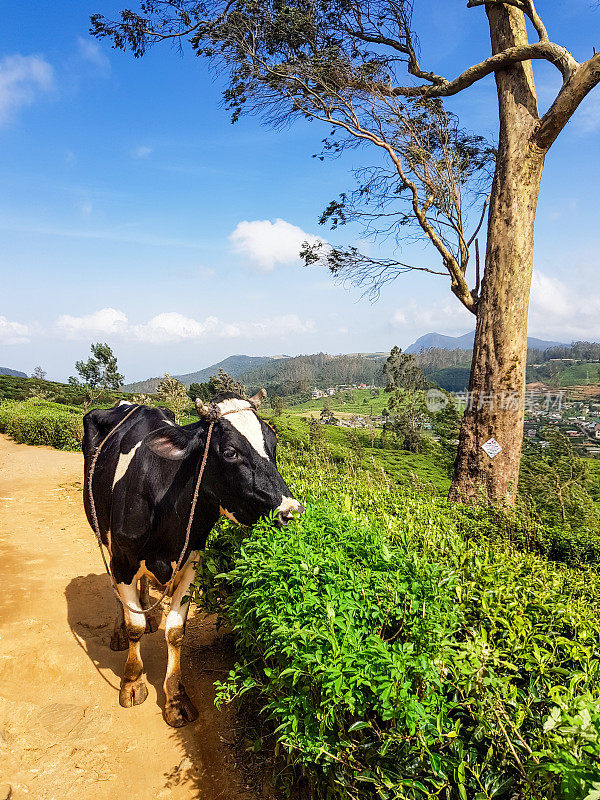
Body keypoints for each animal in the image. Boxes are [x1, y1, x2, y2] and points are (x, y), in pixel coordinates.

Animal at [81, 390, 302, 728]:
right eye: (230, 452)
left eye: (272, 444)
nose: (291, 512)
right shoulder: (123, 558)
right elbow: (134, 625)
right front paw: (132, 682)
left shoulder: (190, 561)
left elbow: (175, 631)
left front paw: (176, 698)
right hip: (102, 537)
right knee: (118, 595)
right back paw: (120, 629)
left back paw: (149, 611)